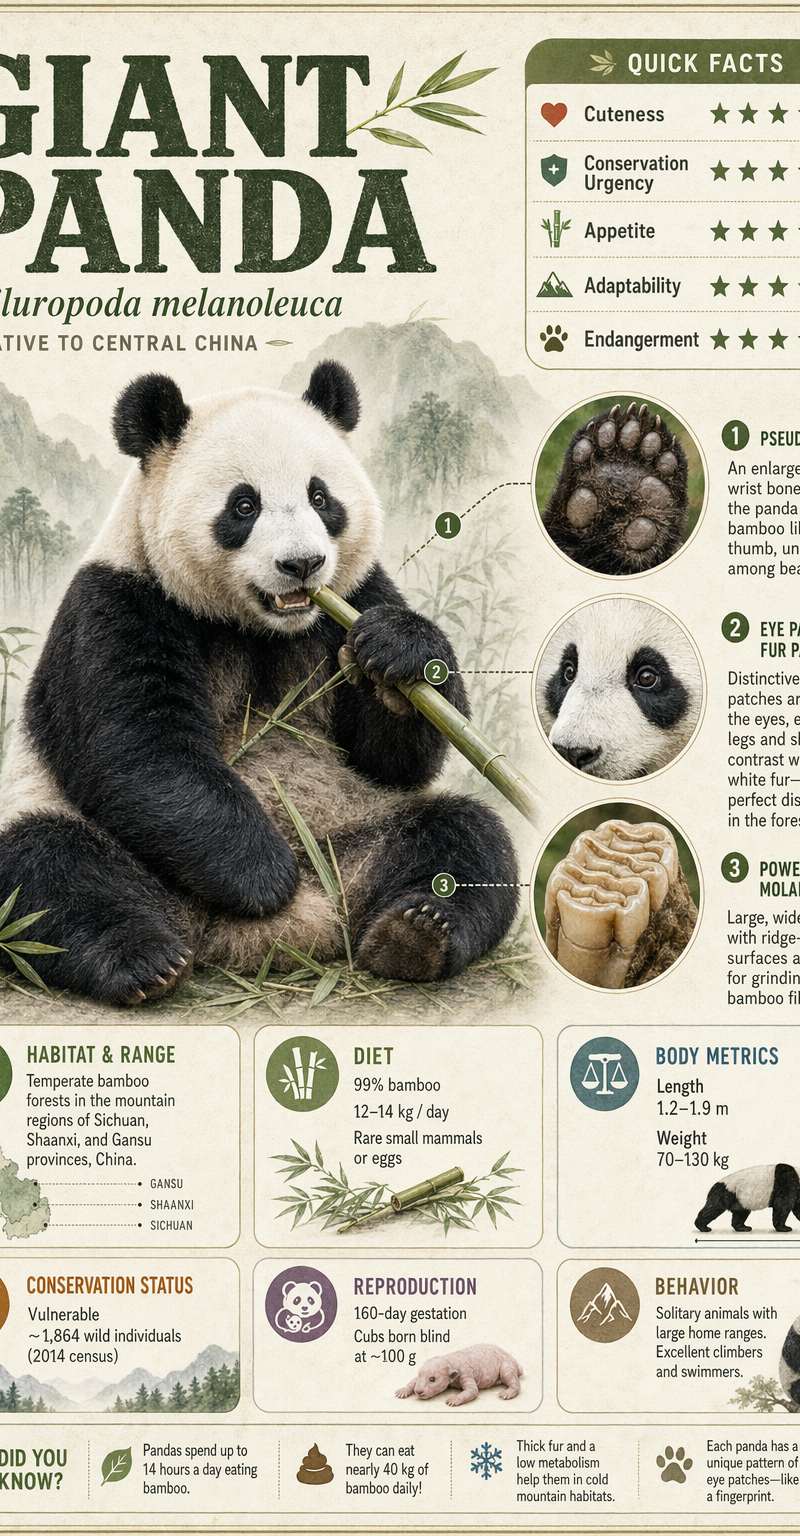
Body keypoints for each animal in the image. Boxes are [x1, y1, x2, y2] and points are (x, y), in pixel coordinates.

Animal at [0, 364, 519, 1006]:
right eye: (243, 505)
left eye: (320, 497)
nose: (303, 565)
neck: (259, 626)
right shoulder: (118, 604)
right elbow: (138, 749)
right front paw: (262, 876)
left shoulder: (353, 598)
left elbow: (393, 759)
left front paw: (398, 654)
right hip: (66, 828)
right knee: (48, 872)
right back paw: (146, 958)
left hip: (353, 834)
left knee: (461, 837)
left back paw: (415, 933)